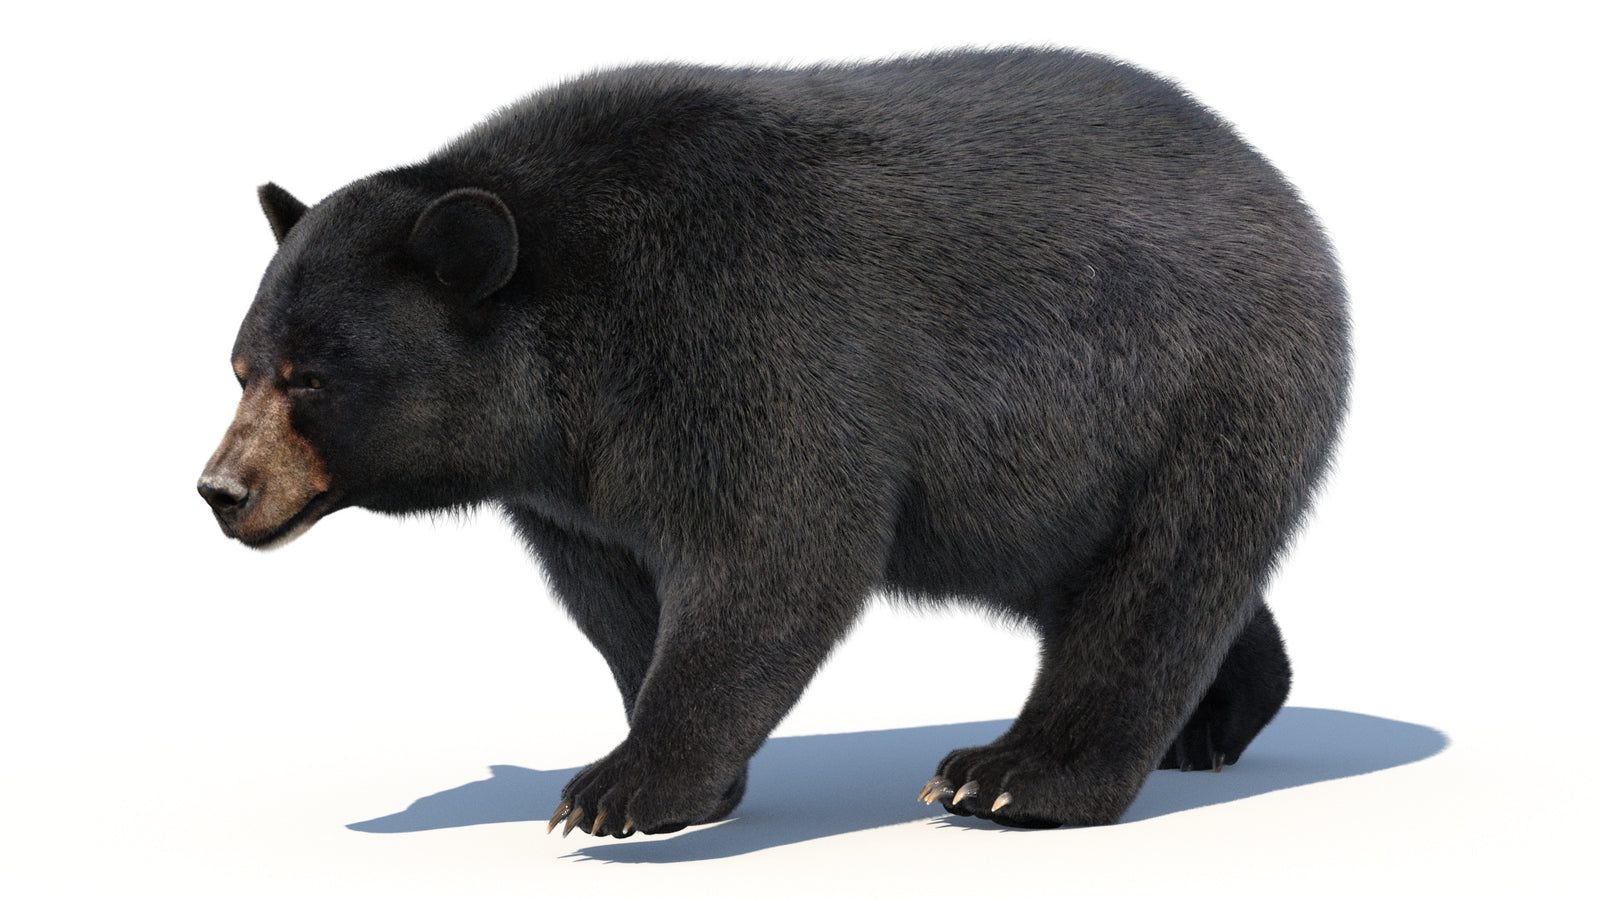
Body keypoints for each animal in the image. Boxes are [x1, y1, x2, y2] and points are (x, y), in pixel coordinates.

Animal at [198, 47, 1349, 837]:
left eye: (311, 376)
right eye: (243, 365)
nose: (221, 490)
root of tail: (1277, 186)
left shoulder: (743, 337)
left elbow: (776, 549)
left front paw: (619, 789)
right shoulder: (573, 481)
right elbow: (617, 597)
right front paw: (685, 777)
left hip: (1195, 386)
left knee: (1162, 572)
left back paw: (1013, 776)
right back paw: (1214, 722)